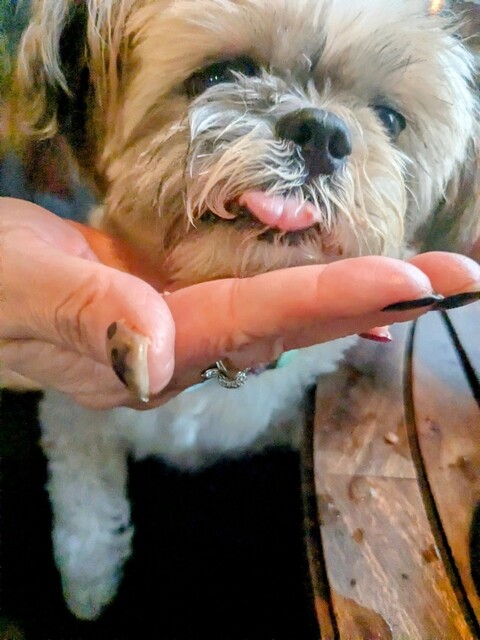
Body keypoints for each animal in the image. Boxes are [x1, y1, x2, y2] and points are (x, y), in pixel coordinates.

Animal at [6, 0, 479, 621]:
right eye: (219, 75)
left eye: (390, 119)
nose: (322, 132)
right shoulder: (74, 413)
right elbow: (83, 500)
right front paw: (89, 586)